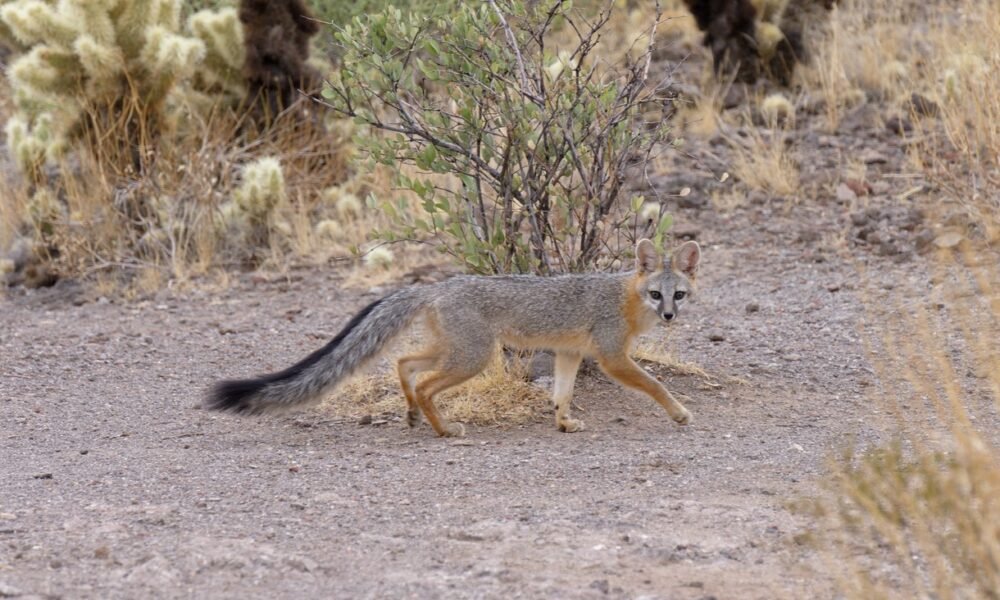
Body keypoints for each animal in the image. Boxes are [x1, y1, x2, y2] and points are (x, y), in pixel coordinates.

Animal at [206, 238, 700, 436]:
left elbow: (561, 395)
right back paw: (443, 429)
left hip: (456, 352)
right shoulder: (613, 357)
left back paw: (411, 414)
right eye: (656, 294)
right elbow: (655, 383)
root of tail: (436, 286)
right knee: (425, 384)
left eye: (678, 294)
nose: (669, 315)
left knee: (403, 364)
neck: (626, 298)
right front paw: (679, 413)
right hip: (473, 359)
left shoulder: (569, 354)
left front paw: (563, 424)